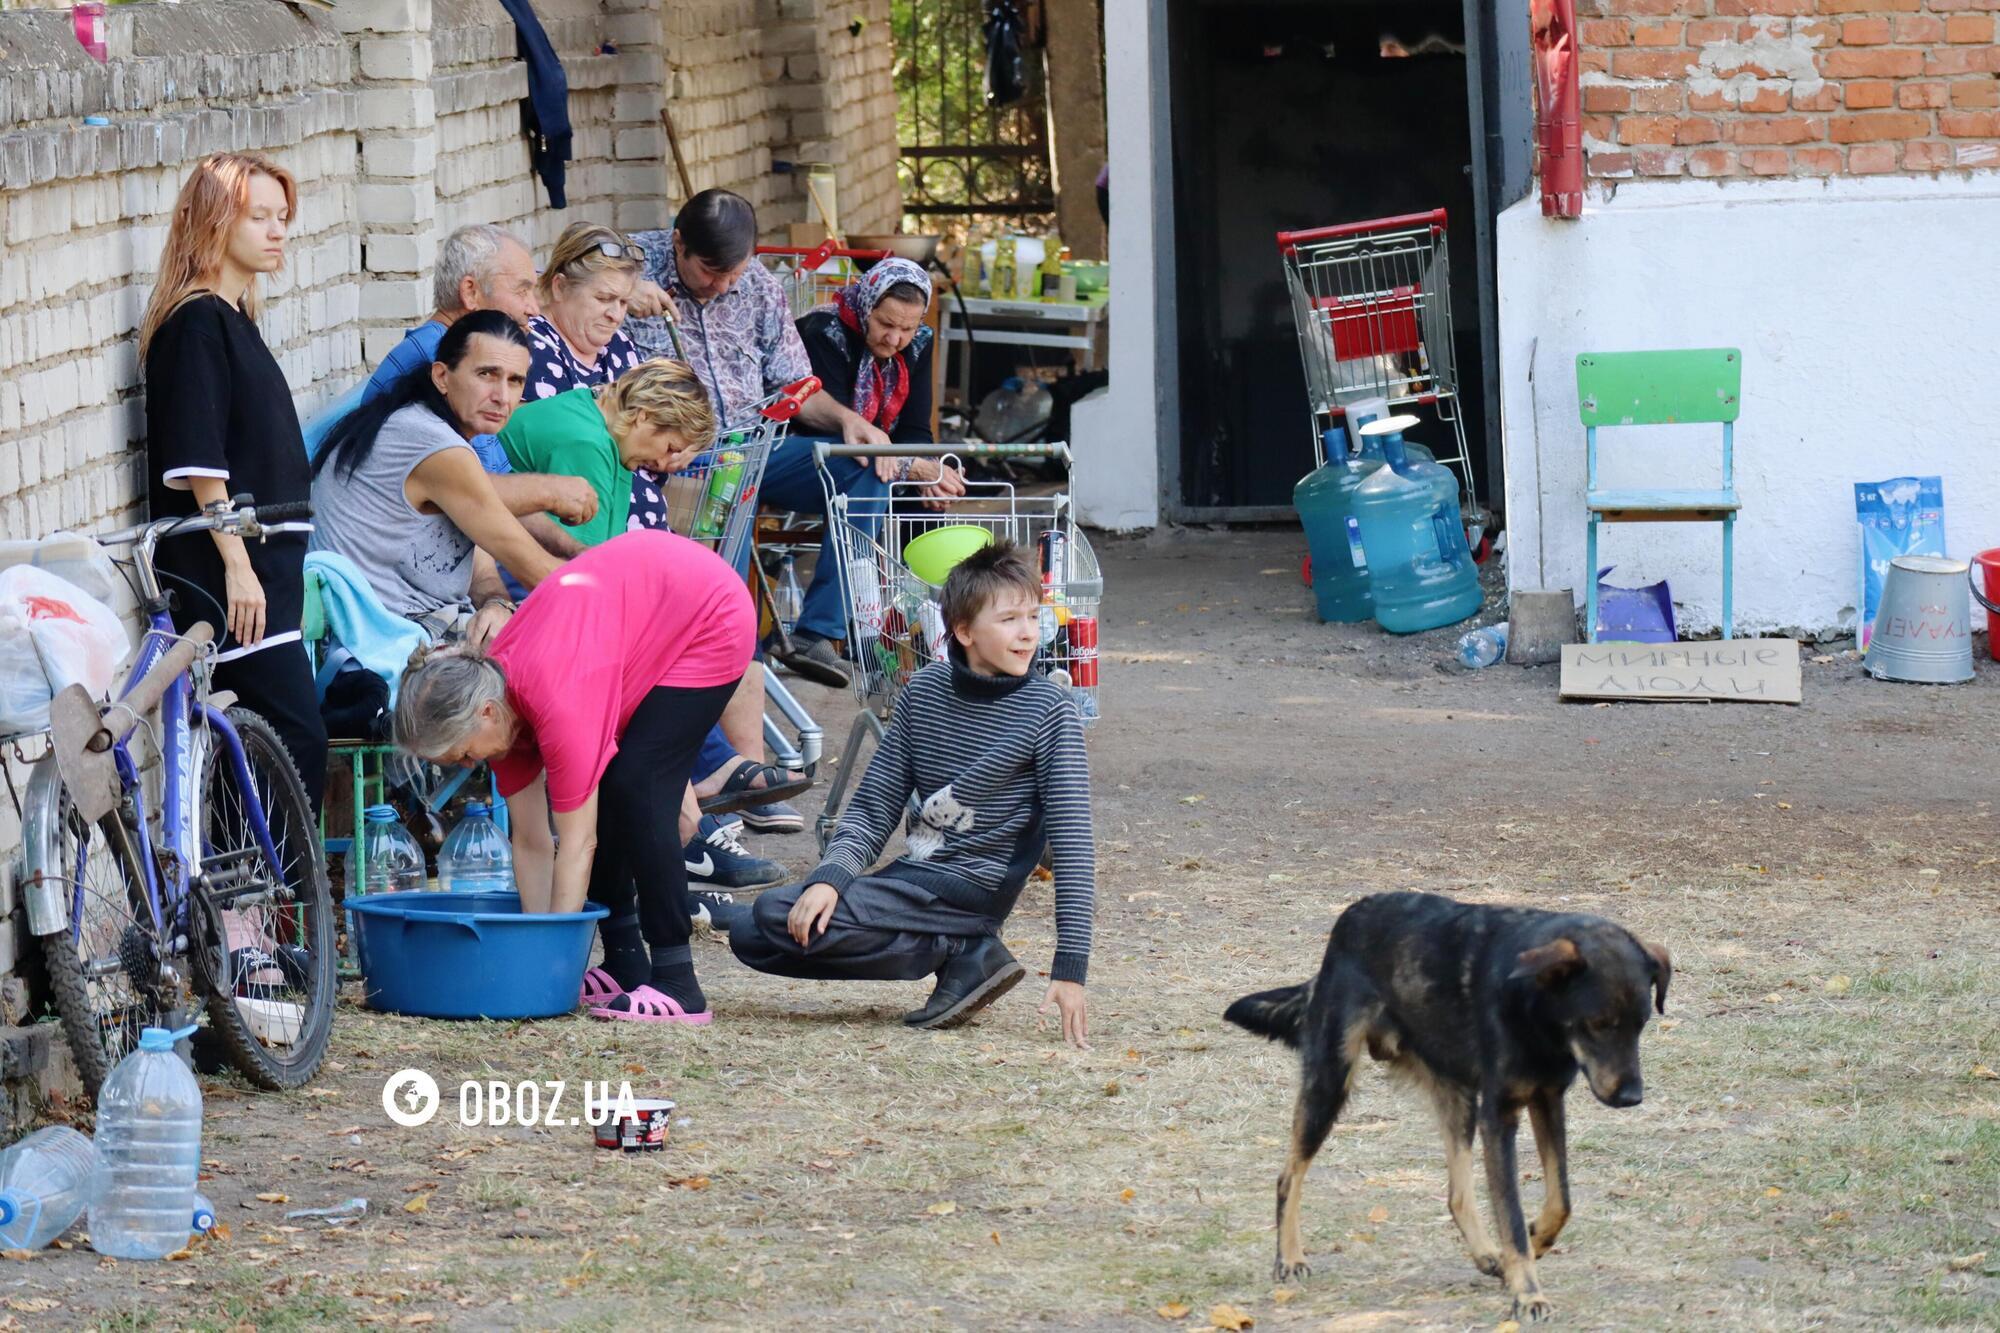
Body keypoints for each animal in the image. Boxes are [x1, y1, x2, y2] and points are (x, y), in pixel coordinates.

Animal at [1216, 888, 1672, 1312]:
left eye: (1641, 1024)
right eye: (1598, 1024)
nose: (1632, 1097)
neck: (1534, 1011)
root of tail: (1351, 915)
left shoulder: (1547, 1100)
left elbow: (1560, 1199)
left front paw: (1537, 1240)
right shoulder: (1499, 1115)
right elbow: (1511, 1214)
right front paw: (1528, 1293)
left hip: (1458, 1097)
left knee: (1457, 1194)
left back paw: (1488, 1255)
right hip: (1331, 1082)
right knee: (1288, 1175)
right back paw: (1289, 1257)